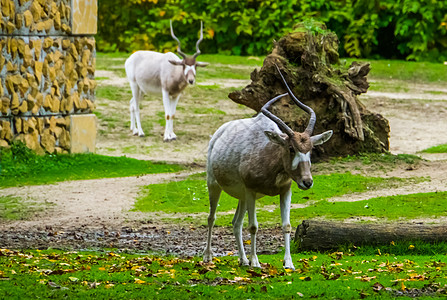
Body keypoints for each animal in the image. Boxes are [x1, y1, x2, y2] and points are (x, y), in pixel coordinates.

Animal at [203, 65, 332, 270]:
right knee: (212, 217)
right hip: (214, 184)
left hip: (242, 196)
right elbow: (254, 226)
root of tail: (218, 133)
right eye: (291, 148)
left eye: (310, 149)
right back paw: (208, 257)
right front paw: (256, 262)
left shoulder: (285, 191)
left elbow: (286, 225)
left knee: (236, 222)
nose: (307, 182)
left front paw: (288, 263)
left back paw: (243, 260)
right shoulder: (251, 190)